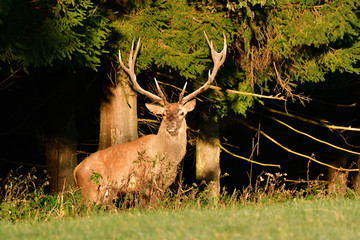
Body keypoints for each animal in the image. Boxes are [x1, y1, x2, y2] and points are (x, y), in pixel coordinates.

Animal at [73, 31, 226, 204]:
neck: (166, 160)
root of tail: (76, 171)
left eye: (182, 113)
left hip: (105, 194)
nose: (170, 125)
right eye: (164, 114)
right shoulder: (144, 181)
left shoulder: (164, 184)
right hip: (90, 190)